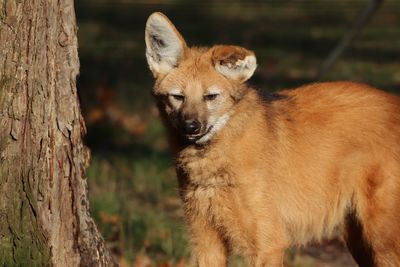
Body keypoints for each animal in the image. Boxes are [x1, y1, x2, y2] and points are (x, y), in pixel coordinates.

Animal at [145, 11, 400, 266]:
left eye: (211, 96)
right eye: (178, 97)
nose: (190, 126)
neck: (211, 164)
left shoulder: (267, 244)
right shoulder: (206, 241)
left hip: (380, 240)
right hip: (359, 239)